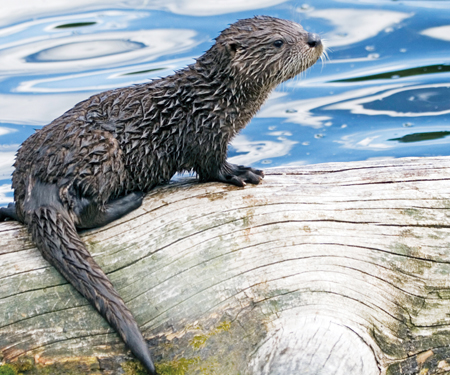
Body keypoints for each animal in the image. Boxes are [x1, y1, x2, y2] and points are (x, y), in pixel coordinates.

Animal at [0, 16, 324, 374]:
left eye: (299, 26)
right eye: (279, 42)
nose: (314, 39)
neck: (213, 99)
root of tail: (35, 187)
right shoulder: (206, 133)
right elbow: (212, 167)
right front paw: (242, 172)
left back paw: (8, 209)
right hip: (103, 151)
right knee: (85, 213)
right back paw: (131, 198)